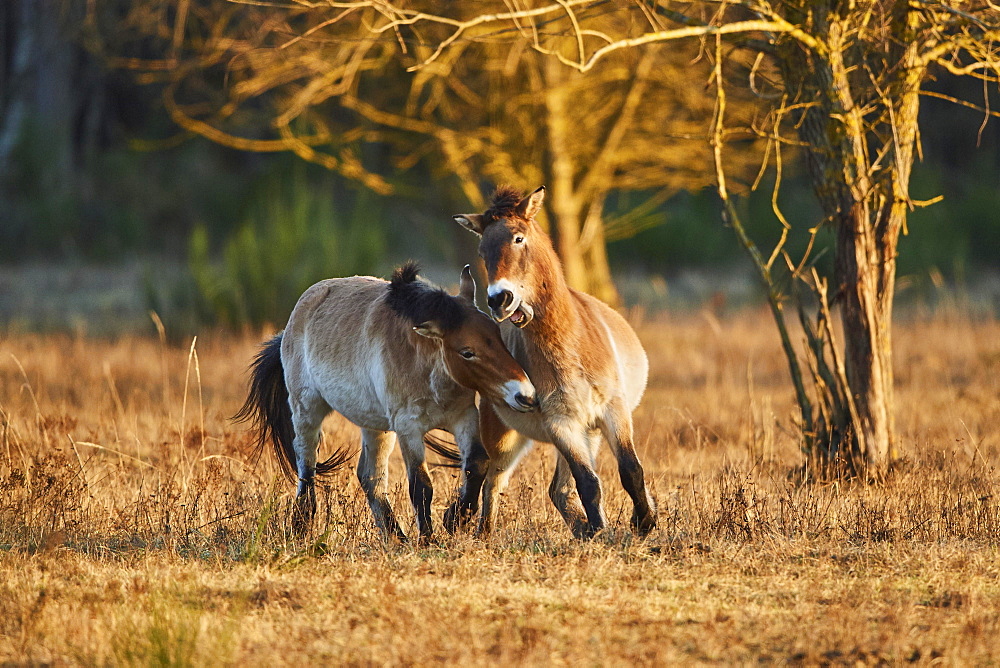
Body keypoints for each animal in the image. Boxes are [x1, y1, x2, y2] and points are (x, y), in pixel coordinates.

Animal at [234, 264, 536, 540]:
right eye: (467, 352)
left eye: (497, 336)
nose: (525, 395)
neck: (422, 361)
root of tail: (294, 318)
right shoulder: (408, 428)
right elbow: (421, 486)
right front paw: (429, 539)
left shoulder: (463, 417)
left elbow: (477, 464)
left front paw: (455, 519)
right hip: (307, 410)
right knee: (306, 466)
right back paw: (301, 527)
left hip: (376, 426)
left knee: (370, 478)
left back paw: (395, 536)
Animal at [454, 185, 656, 540]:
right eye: (482, 249)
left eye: (518, 238)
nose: (499, 299)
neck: (570, 346)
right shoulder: (561, 423)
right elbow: (588, 483)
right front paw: (600, 533)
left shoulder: (613, 412)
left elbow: (630, 470)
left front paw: (644, 523)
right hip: (506, 436)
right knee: (491, 478)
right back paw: (480, 531)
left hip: (589, 432)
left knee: (553, 488)